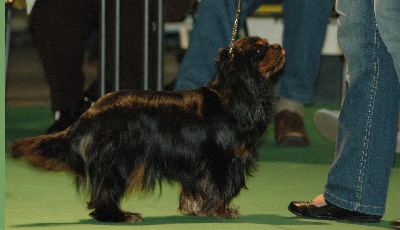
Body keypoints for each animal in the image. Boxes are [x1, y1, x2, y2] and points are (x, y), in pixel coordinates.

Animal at [11, 36, 284, 223]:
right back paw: (119, 216)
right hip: (121, 160)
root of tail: (90, 113)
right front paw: (221, 211)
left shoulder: (198, 162)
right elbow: (217, 188)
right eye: (260, 49)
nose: (279, 46)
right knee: (105, 193)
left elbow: (197, 188)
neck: (234, 91)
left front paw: (196, 210)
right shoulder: (221, 159)